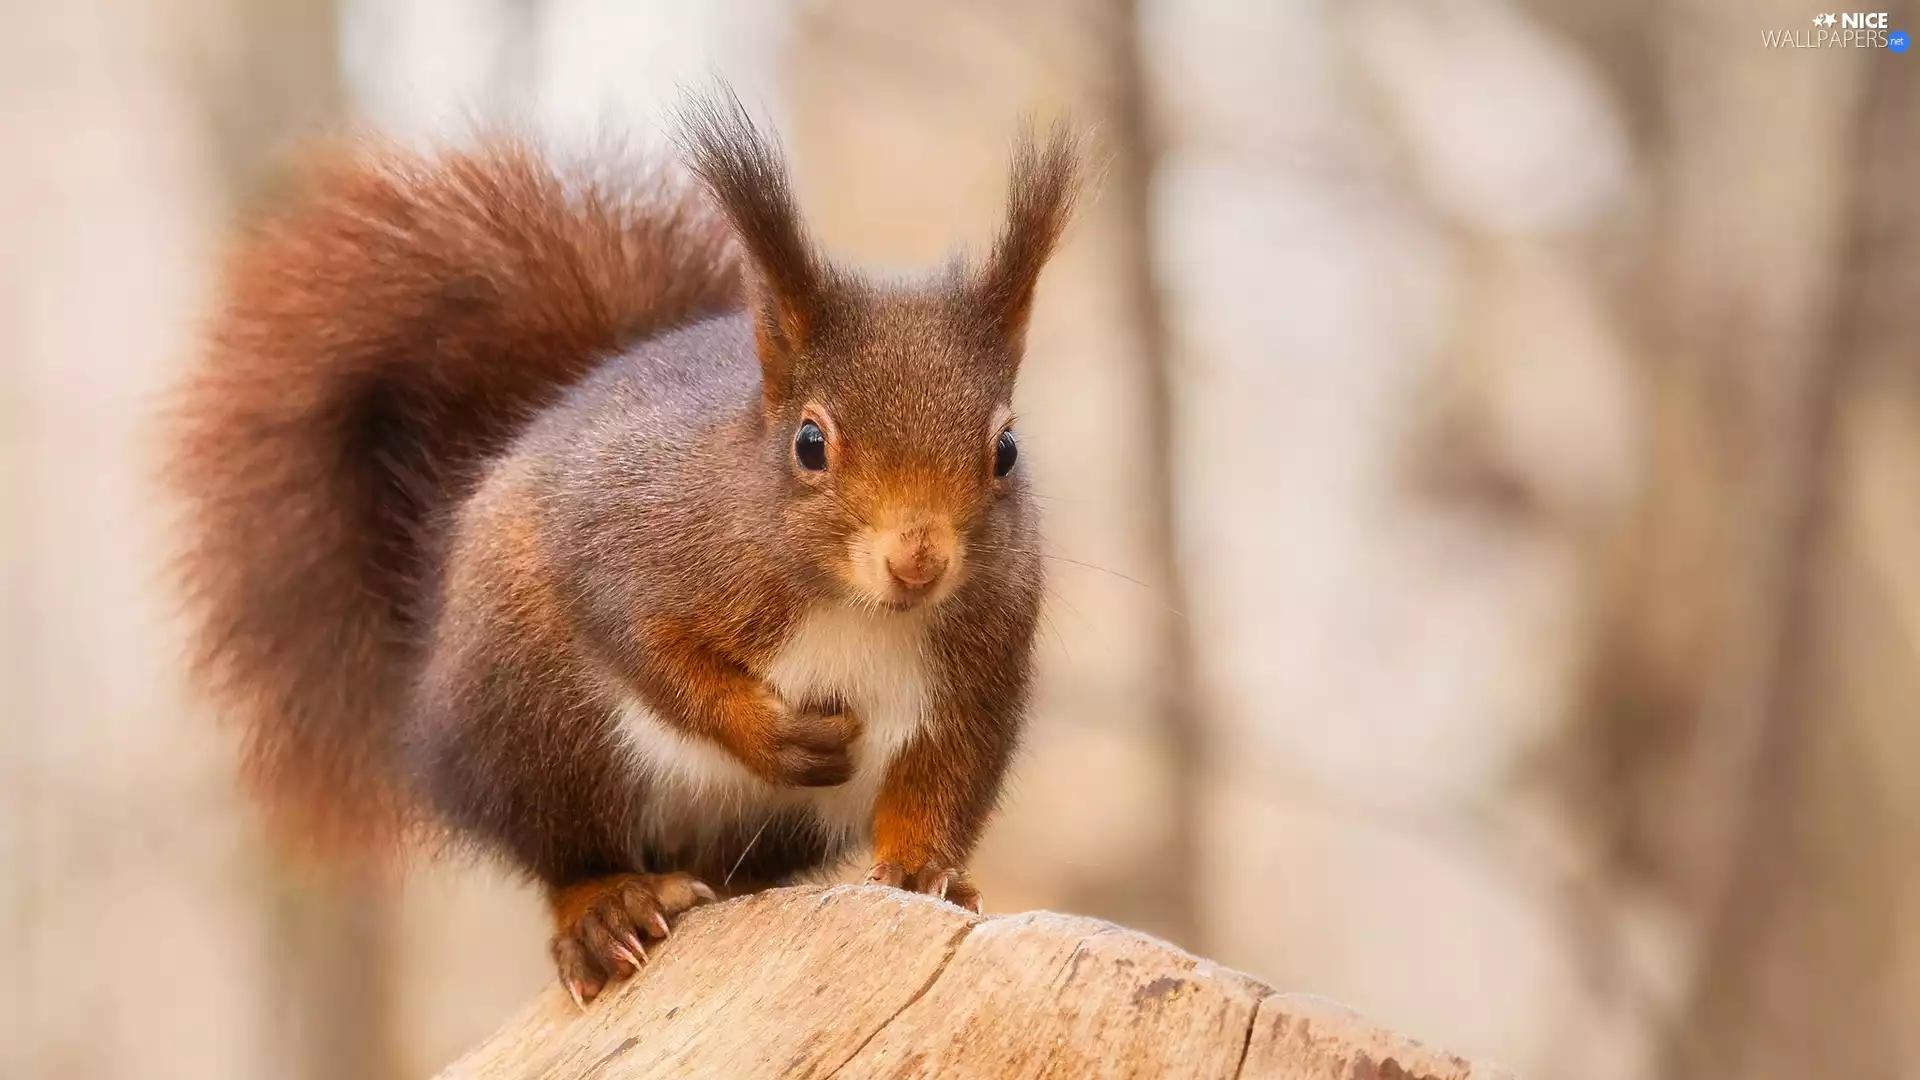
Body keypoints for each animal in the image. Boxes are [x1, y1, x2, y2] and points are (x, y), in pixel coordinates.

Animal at [166, 92, 1083, 1006]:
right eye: (810, 443)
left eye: (1005, 451)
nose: (917, 560)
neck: (853, 603)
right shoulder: (625, 544)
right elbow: (649, 647)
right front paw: (767, 732)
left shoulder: (980, 663)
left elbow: (943, 780)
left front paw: (927, 874)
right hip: (540, 724)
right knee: (568, 853)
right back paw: (607, 910)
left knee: (732, 869)